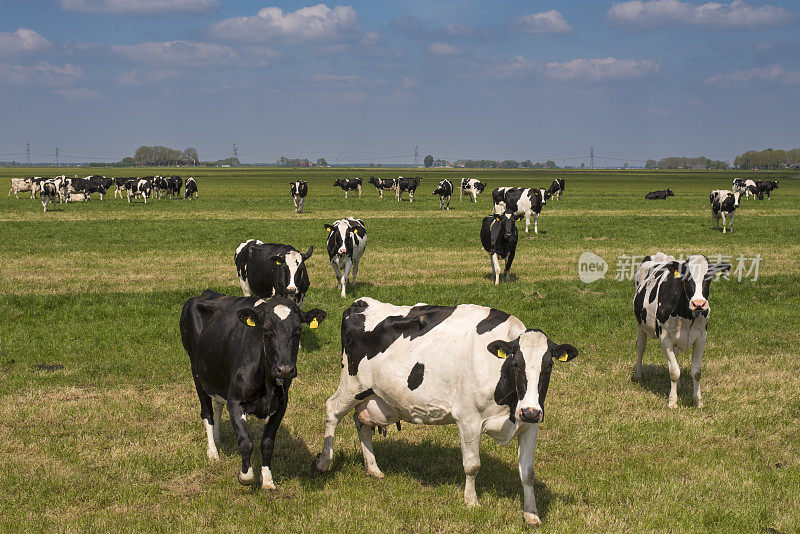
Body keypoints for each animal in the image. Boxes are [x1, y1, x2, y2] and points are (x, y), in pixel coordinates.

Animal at [183, 292, 326, 492]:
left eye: (298, 329)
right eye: (266, 330)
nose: (284, 369)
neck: (267, 385)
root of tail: (209, 293)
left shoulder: (281, 404)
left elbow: (267, 444)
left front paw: (267, 480)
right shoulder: (235, 401)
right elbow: (245, 442)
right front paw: (246, 476)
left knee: (218, 404)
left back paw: (218, 438)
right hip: (196, 372)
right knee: (207, 413)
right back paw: (212, 452)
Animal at [310, 298, 580, 528]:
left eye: (549, 365)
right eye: (515, 363)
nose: (530, 411)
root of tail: (360, 303)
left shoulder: (530, 425)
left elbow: (528, 473)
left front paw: (531, 514)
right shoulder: (469, 419)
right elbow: (472, 465)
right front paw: (471, 502)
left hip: (373, 395)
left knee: (362, 423)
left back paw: (373, 469)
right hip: (352, 385)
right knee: (332, 410)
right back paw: (324, 462)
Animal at [632, 255, 732, 410]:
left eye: (708, 277)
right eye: (687, 278)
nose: (698, 304)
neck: (686, 314)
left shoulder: (701, 337)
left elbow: (696, 371)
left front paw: (698, 401)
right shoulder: (665, 338)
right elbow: (674, 371)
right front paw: (672, 401)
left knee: (675, 354)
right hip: (640, 324)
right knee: (641, 347)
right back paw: (638, 374)